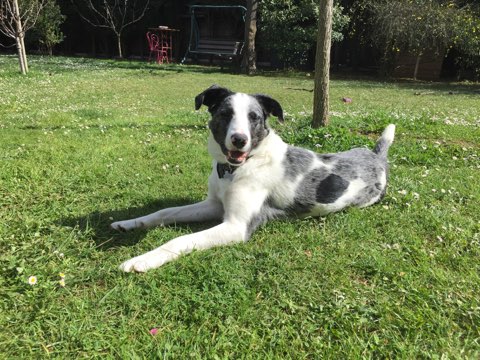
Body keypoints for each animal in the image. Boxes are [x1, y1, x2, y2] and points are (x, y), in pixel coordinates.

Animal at [110, 85, 396, 272]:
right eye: (225, 114)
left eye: (254, 117)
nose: (239, 140)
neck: (235, 169)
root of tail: (376, 156)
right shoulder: (213, 205)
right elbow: (165, 212)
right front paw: (129, 223)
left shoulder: (235, 226)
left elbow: (179, 239)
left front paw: (142, 260)